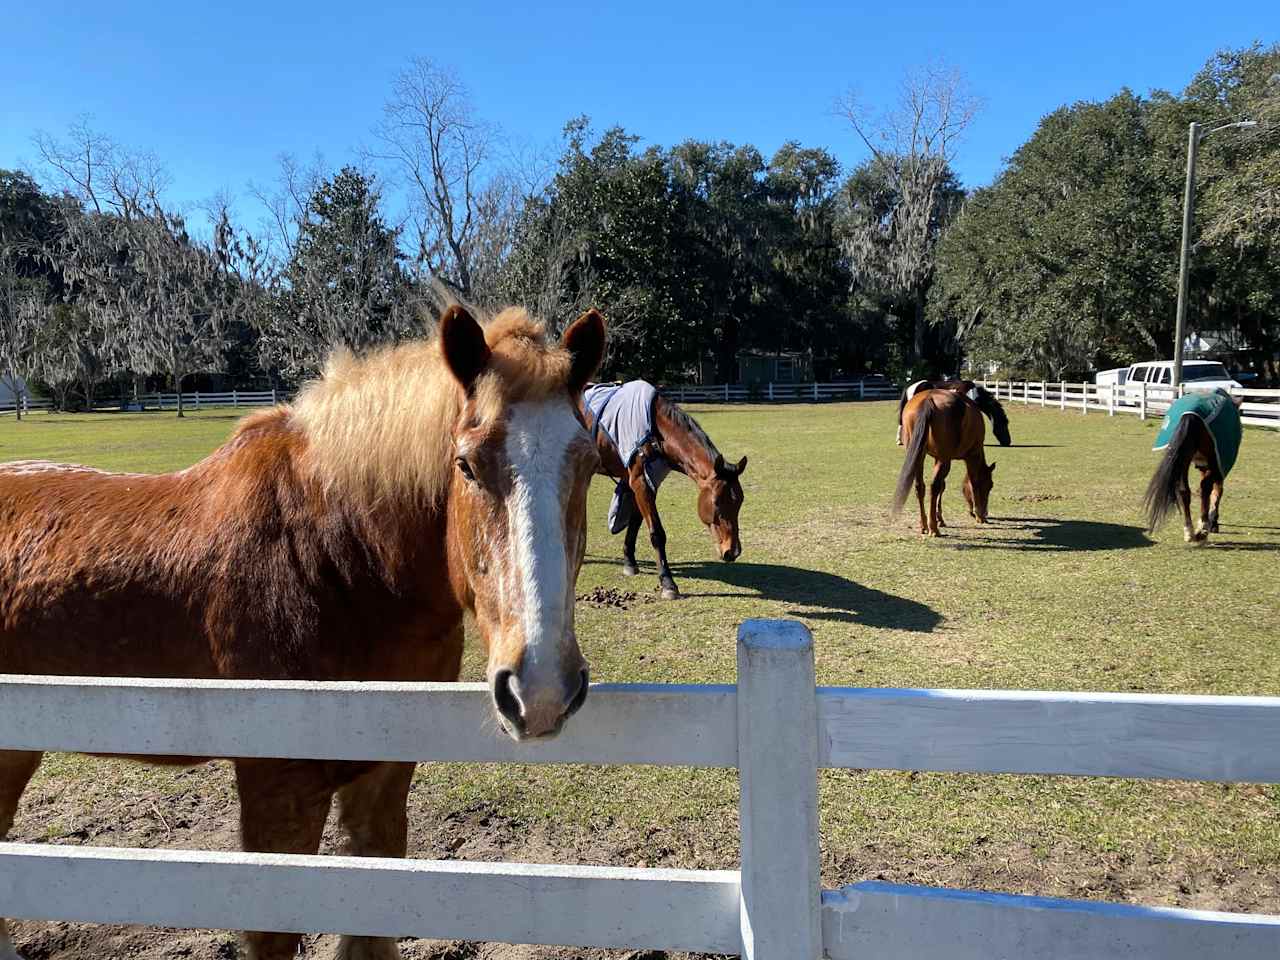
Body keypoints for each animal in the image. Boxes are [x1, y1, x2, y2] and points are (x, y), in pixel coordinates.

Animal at [0, 305, 606, 960]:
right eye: (466, 465)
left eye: (588, 464)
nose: (540, 691)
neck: (336, 561)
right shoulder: (278, 788)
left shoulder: (382, 775)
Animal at [578, 384, 747, 601]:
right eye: (717, 502)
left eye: (740, 502)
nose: (732, 551)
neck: (656, 430)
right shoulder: (640, 480)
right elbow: (657, 533)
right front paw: (668, 582)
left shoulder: (644, 482)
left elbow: (635, 522)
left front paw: (629, 561)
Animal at [896, 391, 993, 542]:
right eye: (989, 486)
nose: (986, 512)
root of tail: (928, 399)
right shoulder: (972, 456)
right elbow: (973, 482)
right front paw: (979, 515)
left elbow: (942, 486)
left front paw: (939, 518)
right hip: (944, 458)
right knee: (934, 486)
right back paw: (933, 529)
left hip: (919, 455)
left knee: (920, 487)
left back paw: (924, 525)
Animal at [1146, 389, 1244, 542]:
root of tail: (1190, 415)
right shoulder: (1218, 465)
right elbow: (1217, 491)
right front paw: (1213, 523)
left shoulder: (1204, 465)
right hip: (1210, 460)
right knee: (1205, 487)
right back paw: (1202, 528)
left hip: (1183, 457)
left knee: (1184, 490)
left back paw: (1189, 530)